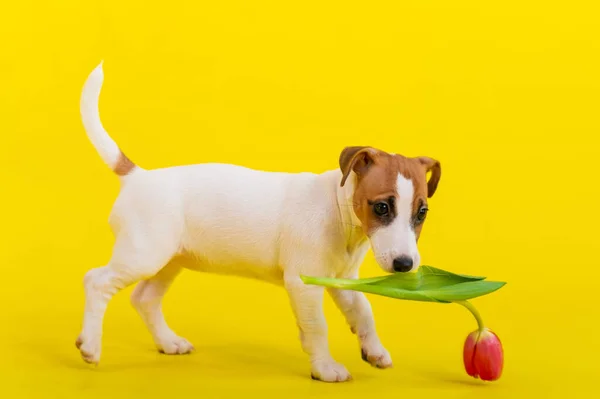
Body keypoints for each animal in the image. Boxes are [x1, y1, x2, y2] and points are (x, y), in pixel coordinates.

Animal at [75, 61, 440, 382]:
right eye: (382, 207)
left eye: (421, 213)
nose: (405, 264)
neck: (339, 214)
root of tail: (138, 177)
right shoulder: (303, 284)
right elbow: (317, 327)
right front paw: (325, 368)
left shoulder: (342, 279)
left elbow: (363, 311)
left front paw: (374, 350)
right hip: (144, 254)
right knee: (97, 281)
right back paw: (90, 345)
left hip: (169, 259)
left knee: (144, 298)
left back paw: (168, 341)